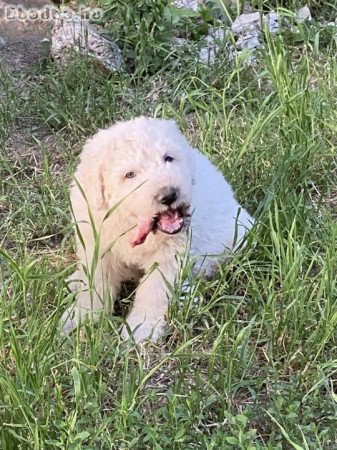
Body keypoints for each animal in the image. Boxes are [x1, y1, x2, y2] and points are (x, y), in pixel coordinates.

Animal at [62, 116, 252, 342]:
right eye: (129, 174)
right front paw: (81, 317)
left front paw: (140, 329)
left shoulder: (169, 255)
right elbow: (95, 284)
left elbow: (154, 290)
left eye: (168, 158)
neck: (131, 224)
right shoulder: (97, 245)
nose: (169, 195)